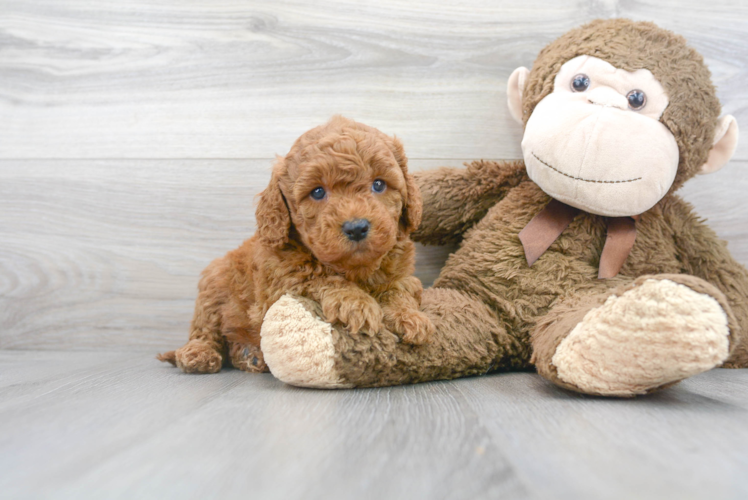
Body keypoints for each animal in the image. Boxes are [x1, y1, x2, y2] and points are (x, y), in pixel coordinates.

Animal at [158, 115, 432, 374]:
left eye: (379, 184)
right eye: (318, 192)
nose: (356, 228)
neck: (355, 270)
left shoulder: (403, 275)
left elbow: (398, 289)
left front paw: (409, 317)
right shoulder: (278, 286)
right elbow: (318, 278)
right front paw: (356, 303)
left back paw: (250, 356)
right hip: (213, 288)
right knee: (205, 331)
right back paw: (200, 354)